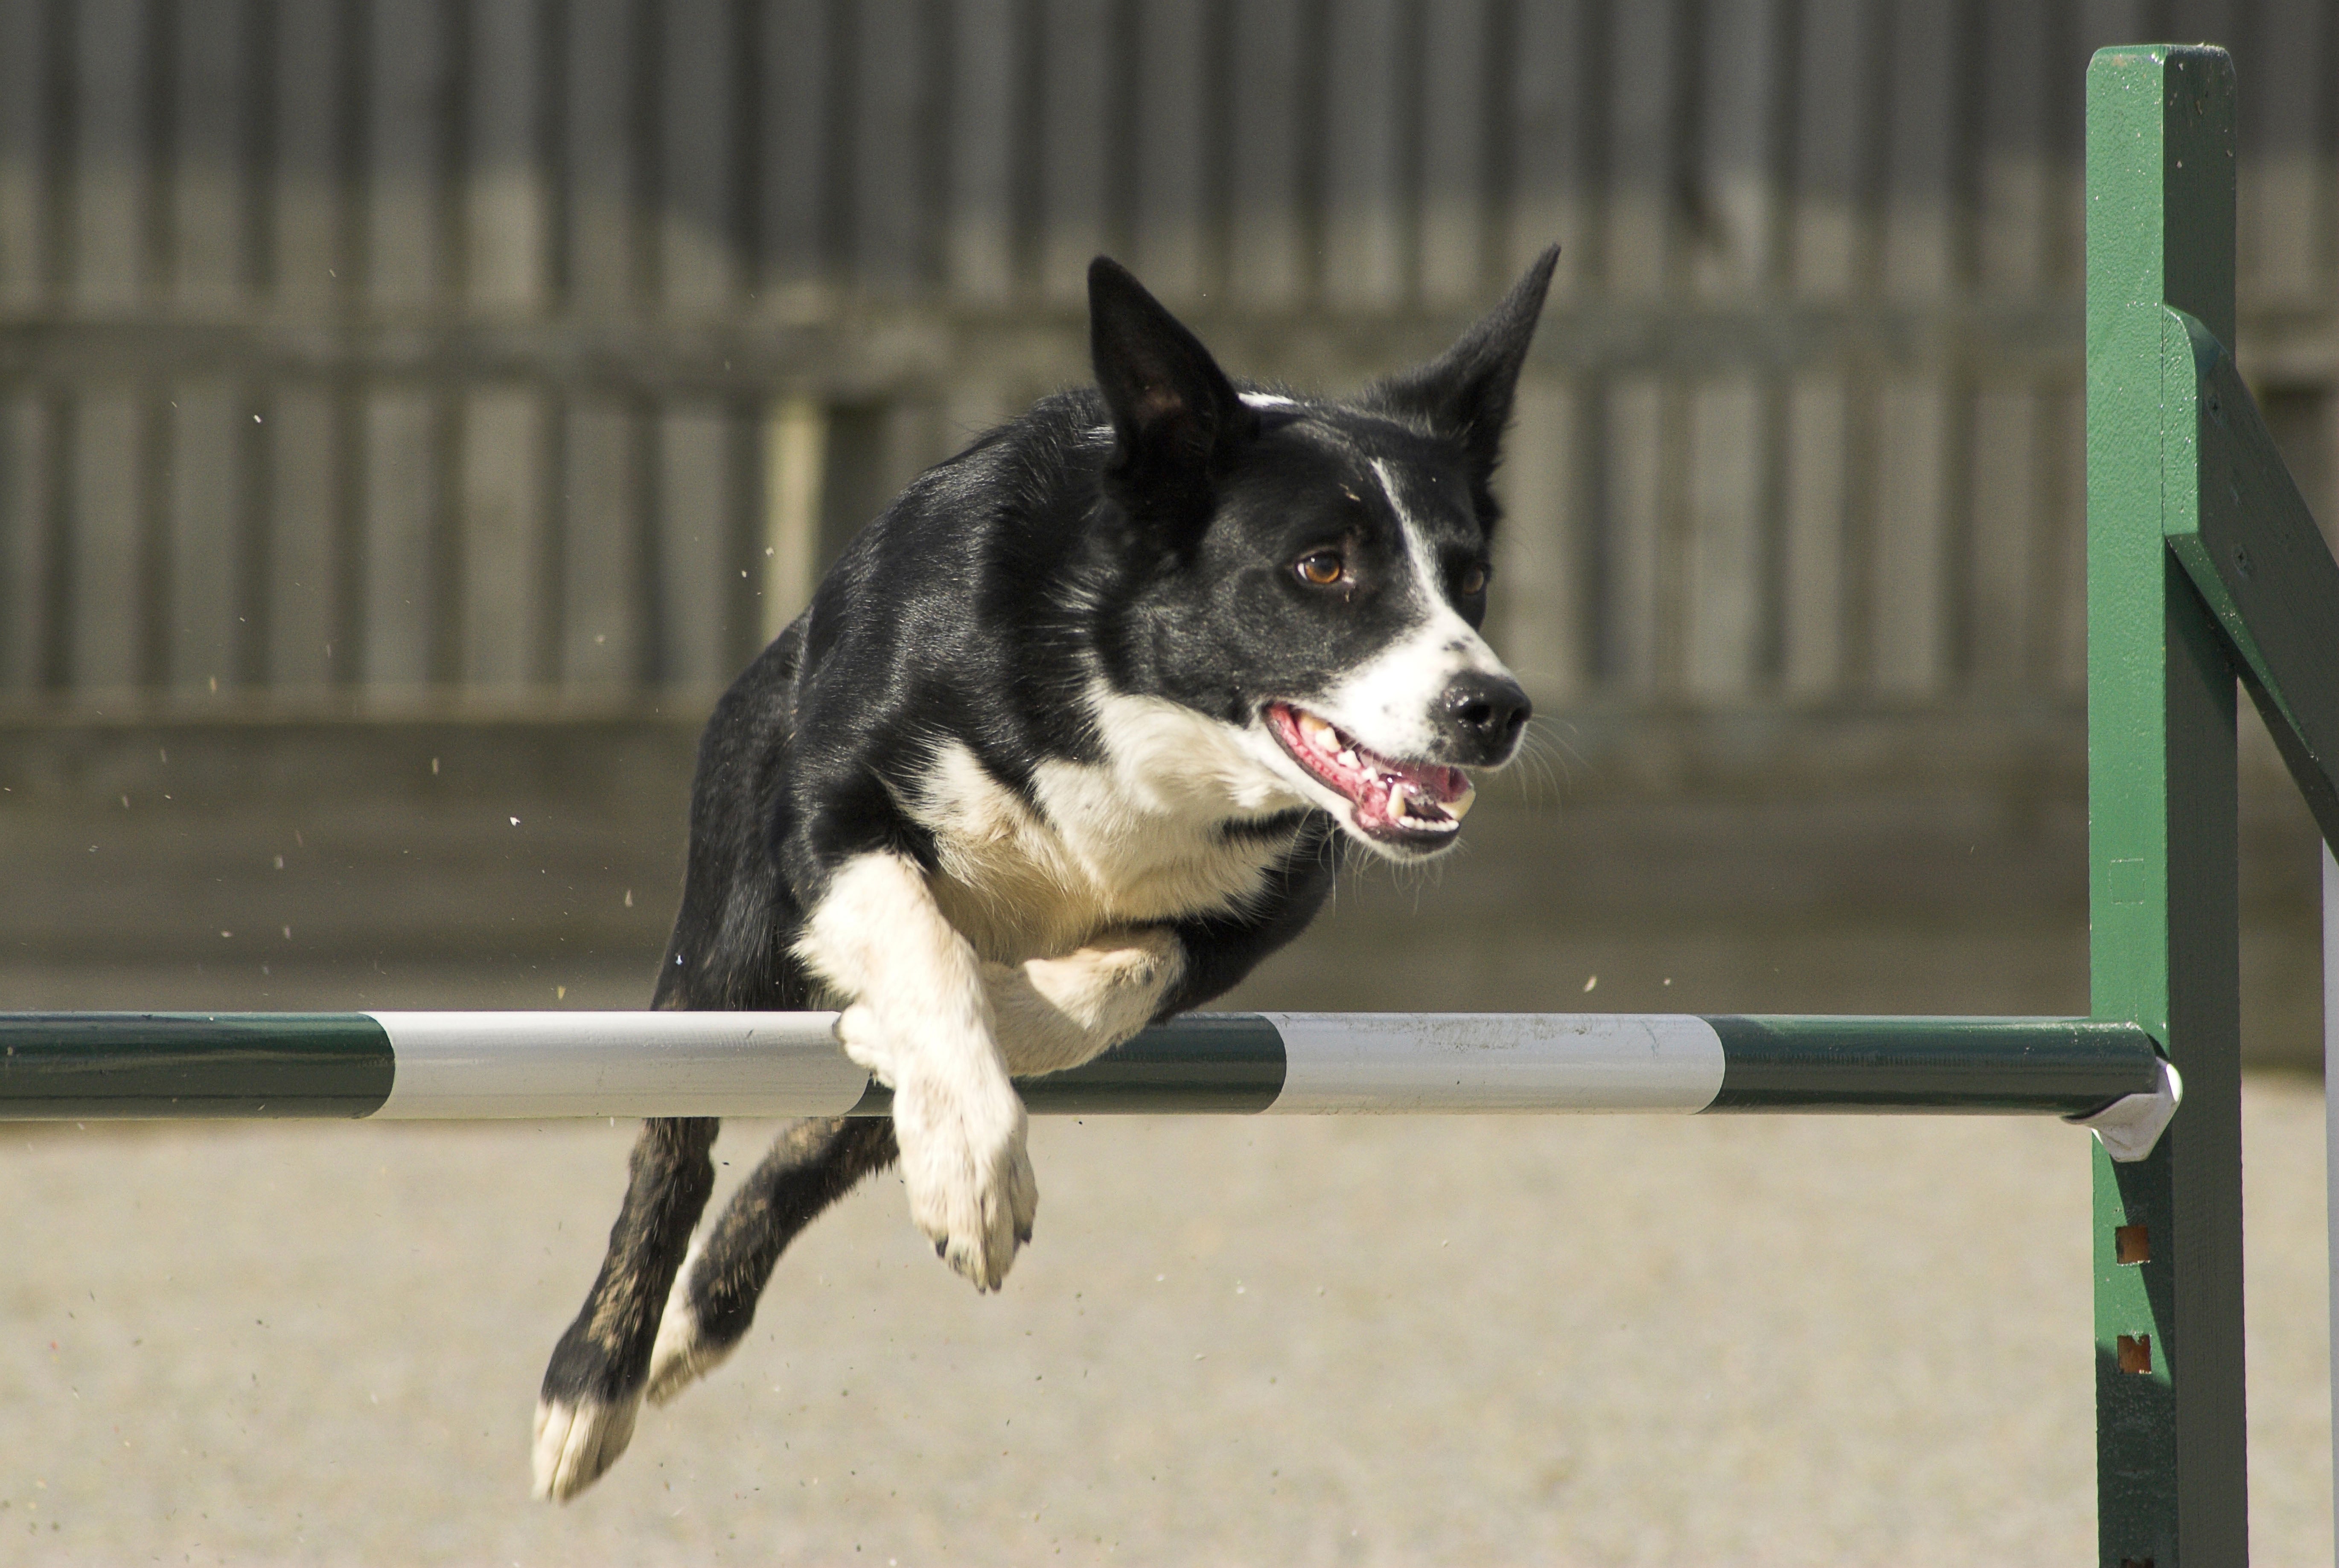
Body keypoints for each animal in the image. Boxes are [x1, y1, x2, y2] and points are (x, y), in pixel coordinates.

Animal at [531, 242, 1553, 1498]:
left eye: (1471, 577)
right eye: (1321, 566)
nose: (1494, 707)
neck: (1127, 691)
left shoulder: (1266, 903)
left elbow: (1112, 980)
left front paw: (987, 1050)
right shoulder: (825, 819)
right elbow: (920, 947)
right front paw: (974, 1165)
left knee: (830, 1138)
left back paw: (700, 1312)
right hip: (720, 949)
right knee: (673, 1151)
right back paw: (600, 1380)